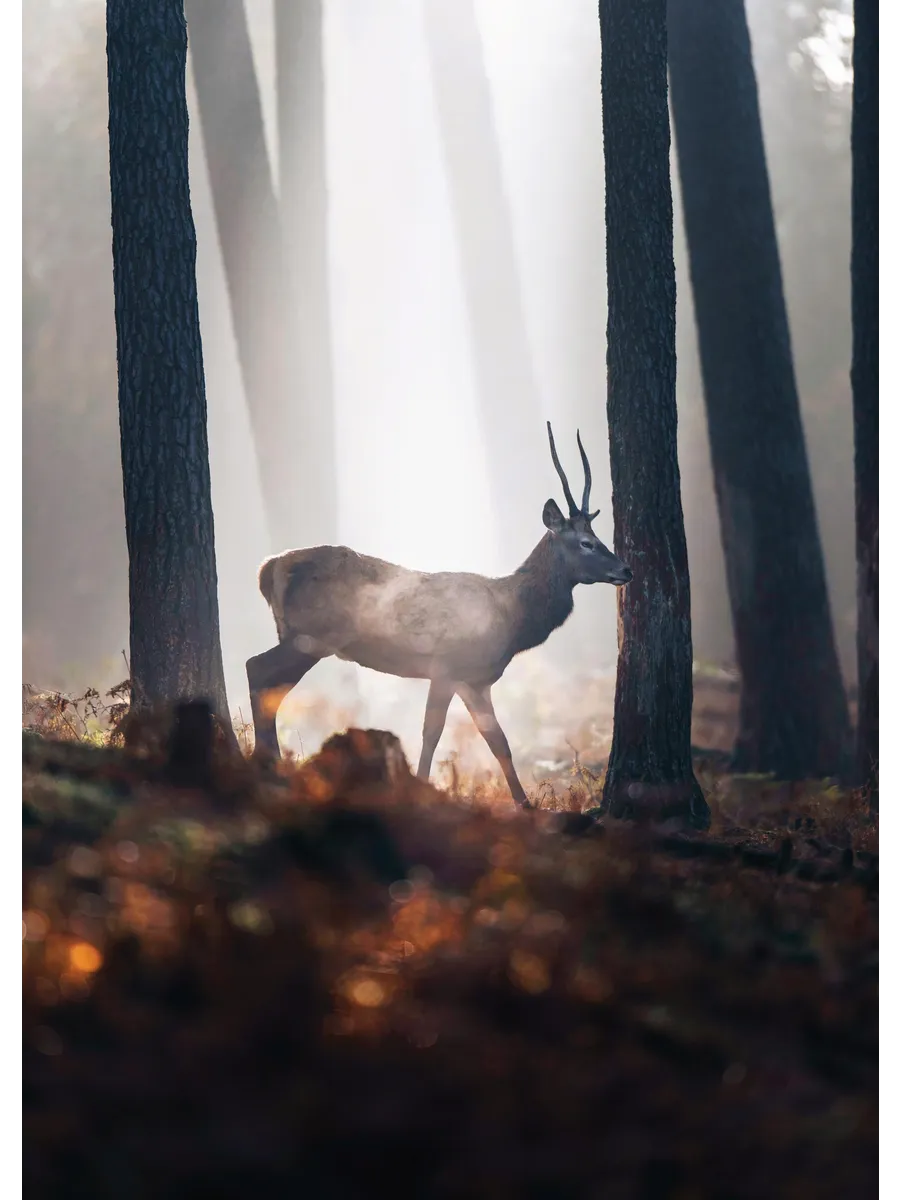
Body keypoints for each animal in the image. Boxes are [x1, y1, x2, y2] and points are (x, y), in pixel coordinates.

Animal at [247, 422, 633, 807]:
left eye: (597, 536)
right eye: (586, 543)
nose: (625, 569)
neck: (512, 618)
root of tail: (267, 569)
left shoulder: (475, 680)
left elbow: (499, 742)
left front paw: (525, 805)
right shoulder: (446, 665)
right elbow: (432, 732)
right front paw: (420, 790)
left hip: (302, 635)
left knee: (268, 684)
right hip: (312, 635)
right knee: (256, 669)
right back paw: (267, 766)